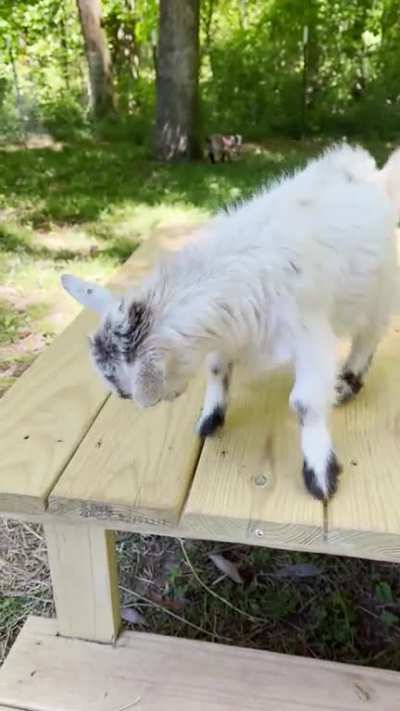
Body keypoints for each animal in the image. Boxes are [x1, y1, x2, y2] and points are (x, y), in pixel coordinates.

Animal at [61, 144, 400, 501]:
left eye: (121, 382)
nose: (122, 396)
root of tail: (370, 172)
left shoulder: (310, 336)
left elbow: (305, 403)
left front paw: (320, 475)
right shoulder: (226, 333)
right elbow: (215, 369)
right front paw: (211, 418)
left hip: (377, 289)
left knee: (369, 334)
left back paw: (349, 381)